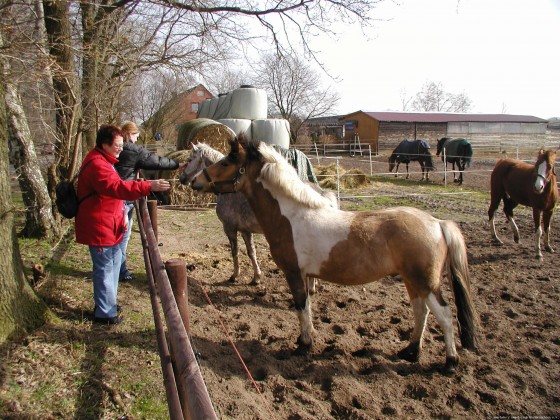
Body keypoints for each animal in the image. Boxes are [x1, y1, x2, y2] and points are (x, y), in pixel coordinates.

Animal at [186, 136, 480, 372]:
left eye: (227, 161)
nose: (193, 181)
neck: (292, 215)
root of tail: (437, 223)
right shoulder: (305, 274)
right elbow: (307, 307)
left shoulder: (294, 274)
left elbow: (301, 308)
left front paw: (304, 345)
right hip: (413, 281)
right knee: (421, 312)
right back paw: (410, 351)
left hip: (426, 283)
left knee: (444, 316)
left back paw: (450, 363)